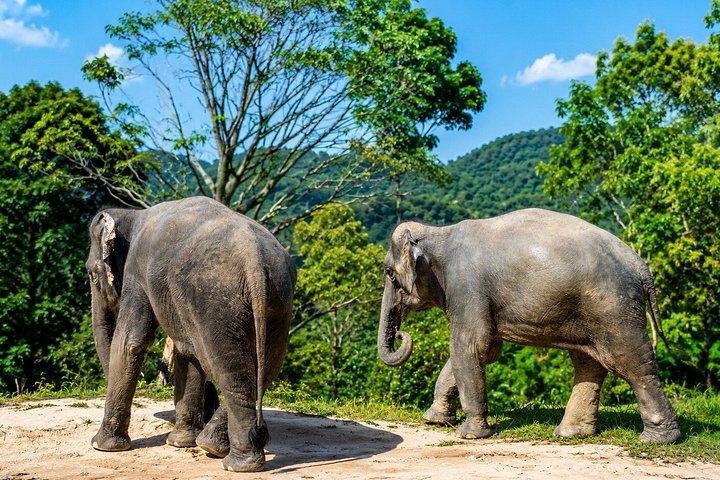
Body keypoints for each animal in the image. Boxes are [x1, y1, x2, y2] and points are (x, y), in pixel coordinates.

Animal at [87, 196, 295, 472]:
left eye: (90, 273)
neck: (134, 214)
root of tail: (254, 261)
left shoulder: (138, 272)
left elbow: (130, 342)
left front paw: (102, 446)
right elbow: (186, 348)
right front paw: (180, 443)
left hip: (215, 301)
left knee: (224, 365)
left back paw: (233, 462)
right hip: (278, 302)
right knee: (265, 367)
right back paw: (214, 445)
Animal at [377, 208, 681, 444]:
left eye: (389, 273)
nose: (402, 333)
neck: (439, 233)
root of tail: (640, 266)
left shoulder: (467, 287)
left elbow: (472, 346)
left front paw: (469, 434)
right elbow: (485, 350)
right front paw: (434, 420)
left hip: (614, 307)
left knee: (630, 362)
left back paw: (658, 439)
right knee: (588, 362)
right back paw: (570, 434)